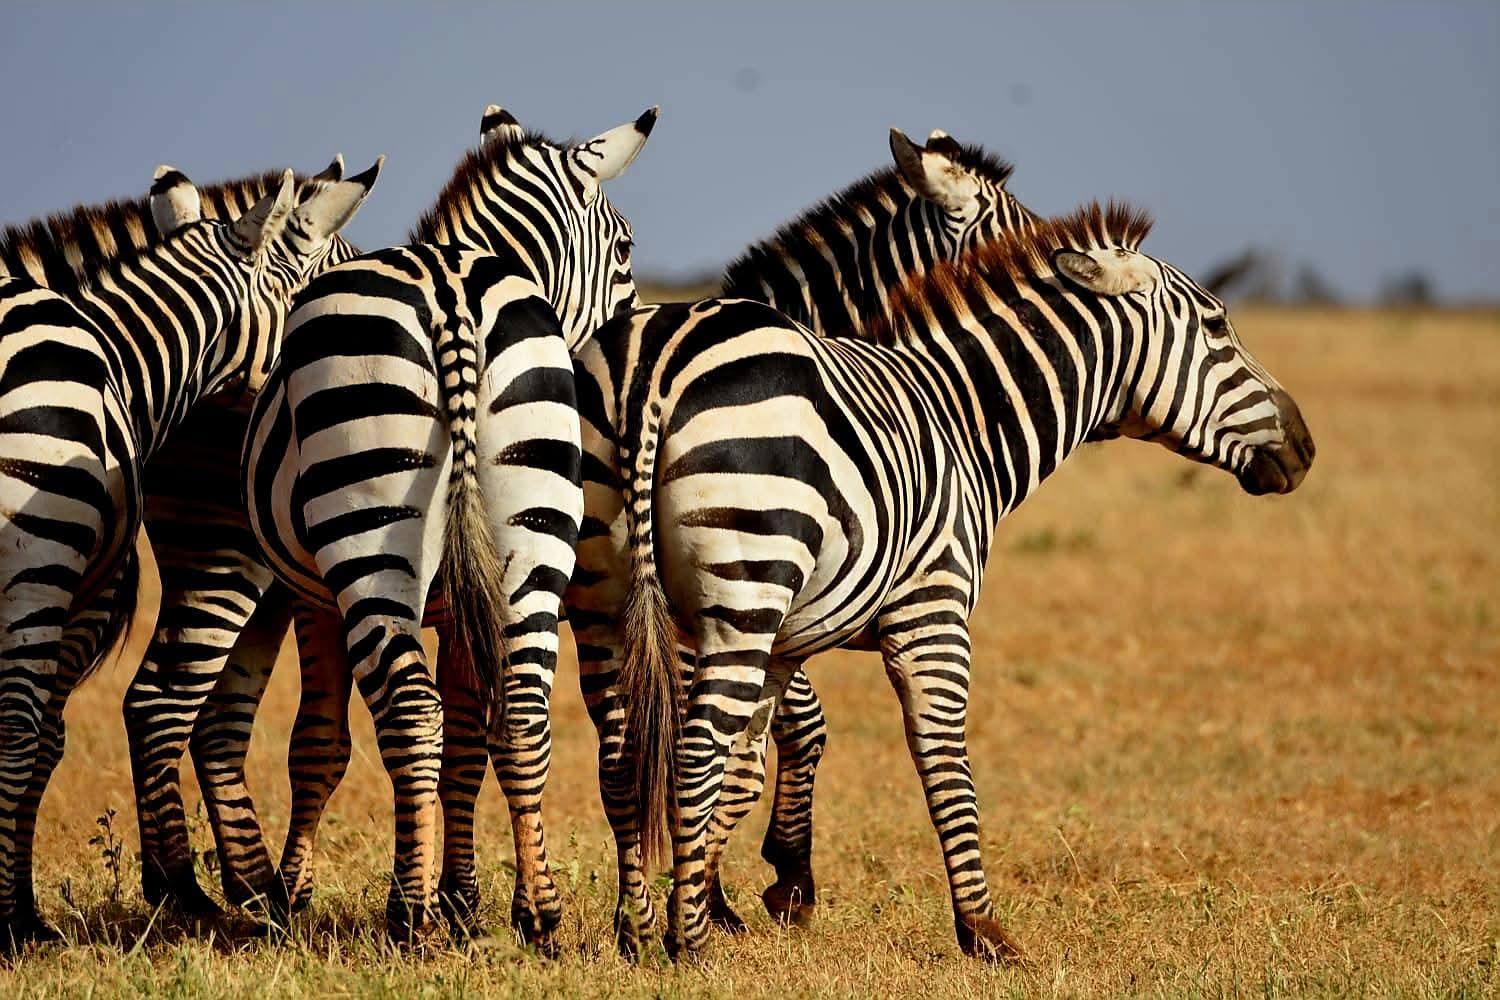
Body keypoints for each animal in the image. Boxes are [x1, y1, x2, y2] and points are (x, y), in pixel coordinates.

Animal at [242, 107, 657, 943]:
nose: (629, 342)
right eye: (626, 248)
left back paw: (409, 913)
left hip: (370, 530)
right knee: (522, 716)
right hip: (531, 533)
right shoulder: (470, 597)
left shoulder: (312, 595)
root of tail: (450, 291)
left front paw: (289, 897)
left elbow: (318, 742)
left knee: (410, 716)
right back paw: (539, 912)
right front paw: (466, 897)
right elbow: (469, 734)